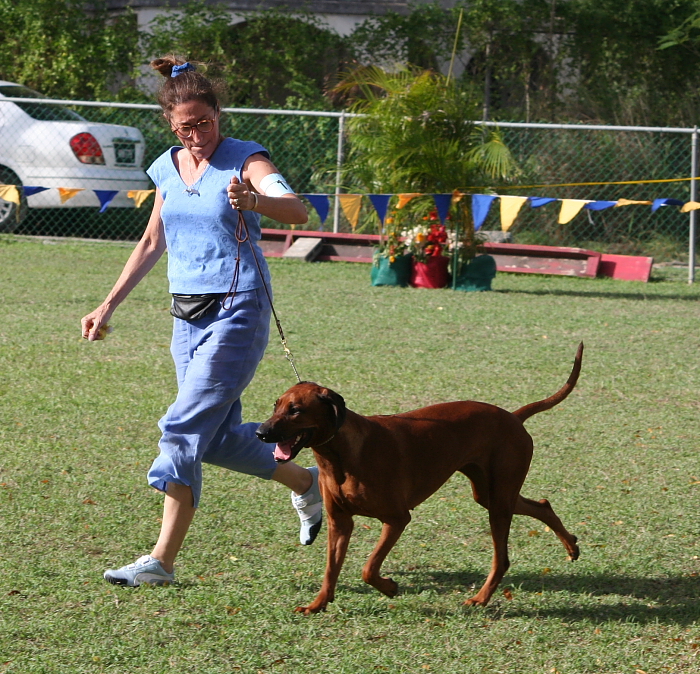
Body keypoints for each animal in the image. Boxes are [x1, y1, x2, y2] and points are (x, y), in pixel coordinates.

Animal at [258, 344, 584, 612]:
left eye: (296, 410)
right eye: (276, 405)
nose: (261, 432)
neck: (339, 456)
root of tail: (513, 417)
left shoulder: (397, 518)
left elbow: (368, 568)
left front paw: (389, 587)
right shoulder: (340, 522)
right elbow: (330, 569)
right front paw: (317, 604)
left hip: (499, 500)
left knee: (501, 558)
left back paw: (481, 597)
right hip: (490, 494)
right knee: (541, 505)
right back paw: (570, 545)